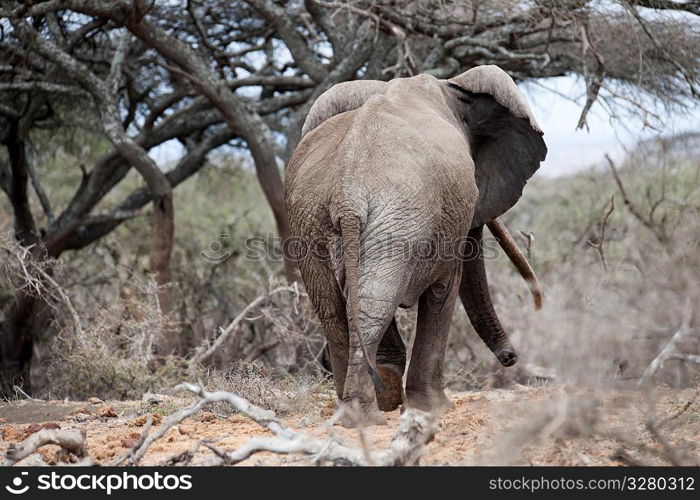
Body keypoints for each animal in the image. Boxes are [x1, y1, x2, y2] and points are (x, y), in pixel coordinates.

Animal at [284, 65, 548, 426]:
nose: (510, 357)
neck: (449, 89)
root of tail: (347, 195)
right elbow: (444, 291)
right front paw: (433, 409)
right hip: (398, 218)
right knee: (371, 305)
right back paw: (367, 417)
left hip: (312, 220)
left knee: (335, 306)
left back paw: (355, 412)